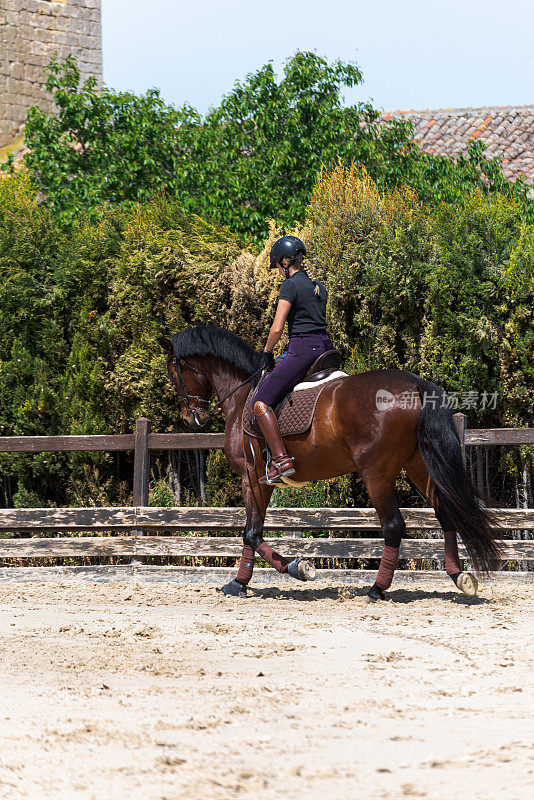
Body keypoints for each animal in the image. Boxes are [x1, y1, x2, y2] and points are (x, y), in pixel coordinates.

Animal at [158, 324, 502, 600]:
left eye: (174, 373)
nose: (191, 419)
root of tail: (416, 385)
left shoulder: (252, 478)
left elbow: (251, 533)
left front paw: (280, 572)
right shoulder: (260, 481)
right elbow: (253, 533)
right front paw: (260, 577)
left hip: (376, 472)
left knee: (393, 526)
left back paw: (377, 589)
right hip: (419, 466)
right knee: (446, 512)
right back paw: (459, 576)